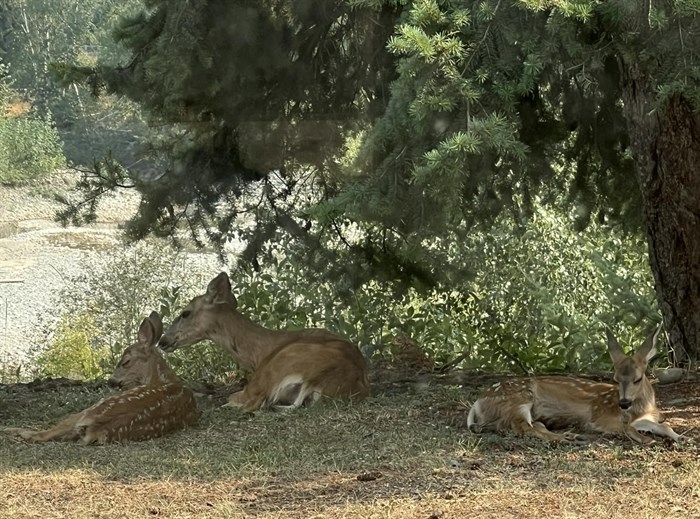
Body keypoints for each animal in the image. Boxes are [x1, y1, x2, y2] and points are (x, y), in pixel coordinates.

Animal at [4, 310, 197, 444]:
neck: (163, 379)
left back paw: (11, 429)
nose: (111, 381)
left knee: (41, 435)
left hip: (91, 408)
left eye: (125, 361)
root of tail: (95, 425)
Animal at [159, 274, 372, 412]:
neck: (259, 353)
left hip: (273, 371)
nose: (162, 341)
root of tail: (317, 380)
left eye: (185, 313)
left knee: (250, 402)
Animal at [468, 328, 680, 444]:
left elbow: (665, 425)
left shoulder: (646, 418)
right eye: (615, 378)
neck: (641, 409)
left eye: (637, 379)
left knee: (527, 425)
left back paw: (570, 435)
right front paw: (648, 440)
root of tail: (478, 402)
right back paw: (562, 439)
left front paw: (680, 437)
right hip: (519, 398)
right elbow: (627, 427)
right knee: (521, 427)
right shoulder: (599, 418)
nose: (624, 403)